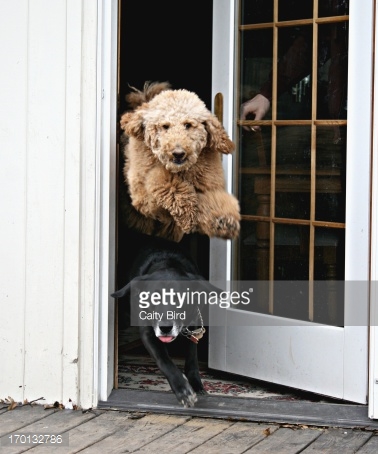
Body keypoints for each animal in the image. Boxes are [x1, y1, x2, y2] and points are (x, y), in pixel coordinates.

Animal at [112, 236, 217, 406]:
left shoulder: (193, 327)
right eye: (153, 298)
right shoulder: (148, 332)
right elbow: (164, 360)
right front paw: (182, 389)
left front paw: (196, 384)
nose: (165, 327)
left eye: (181, 298)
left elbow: (192, 358)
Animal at [119, 83, 241, 243]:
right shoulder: (144, 198)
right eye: (165, 126)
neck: (181, 171)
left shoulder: (209, 185)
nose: (178, 153)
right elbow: (162, 181)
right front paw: (187, 211)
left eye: (188, 125)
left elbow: (209, 201)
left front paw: (223, 219)